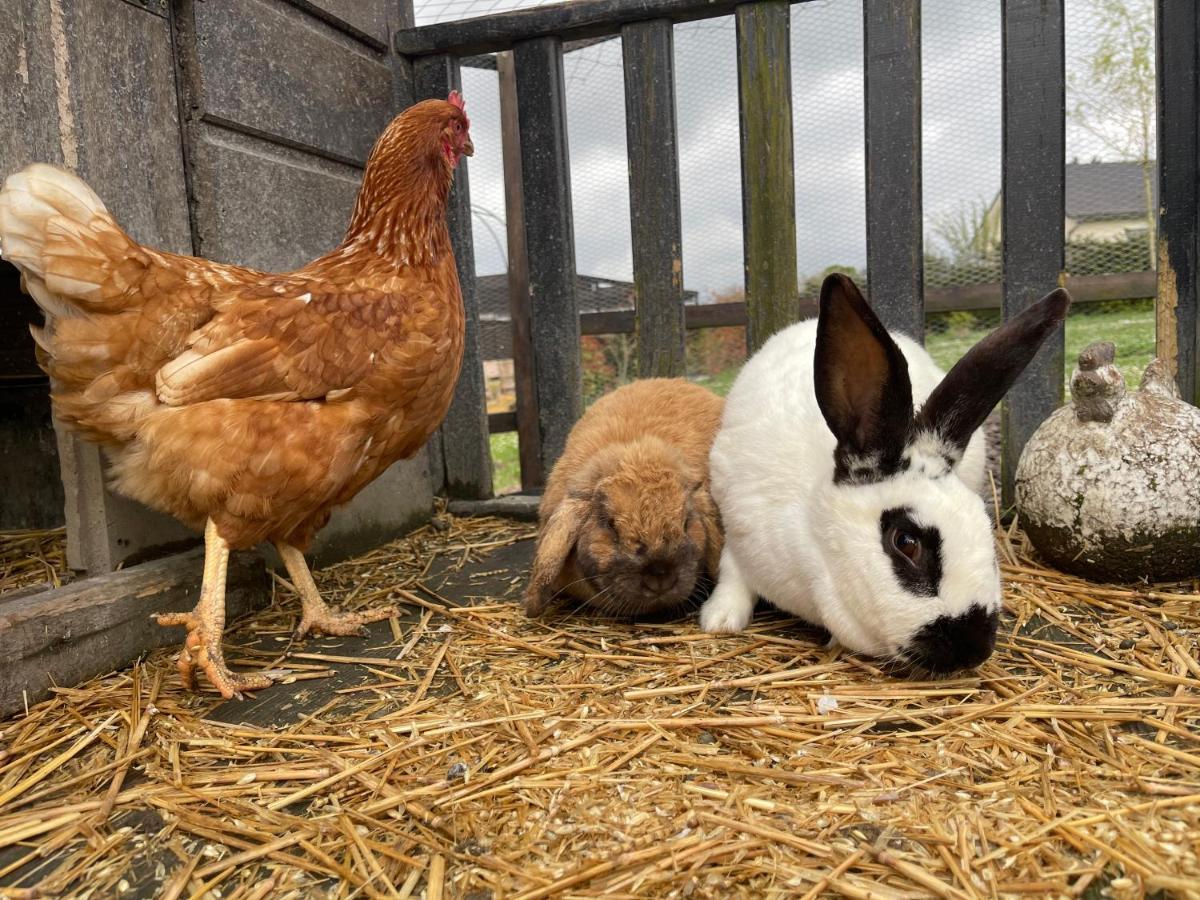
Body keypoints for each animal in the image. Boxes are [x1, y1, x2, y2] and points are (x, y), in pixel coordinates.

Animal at [700, 274, 1070, 676]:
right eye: (906, 542)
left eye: (986, 529)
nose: (973, 649)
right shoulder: (739, 530)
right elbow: (732, 572)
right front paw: (720, 620)